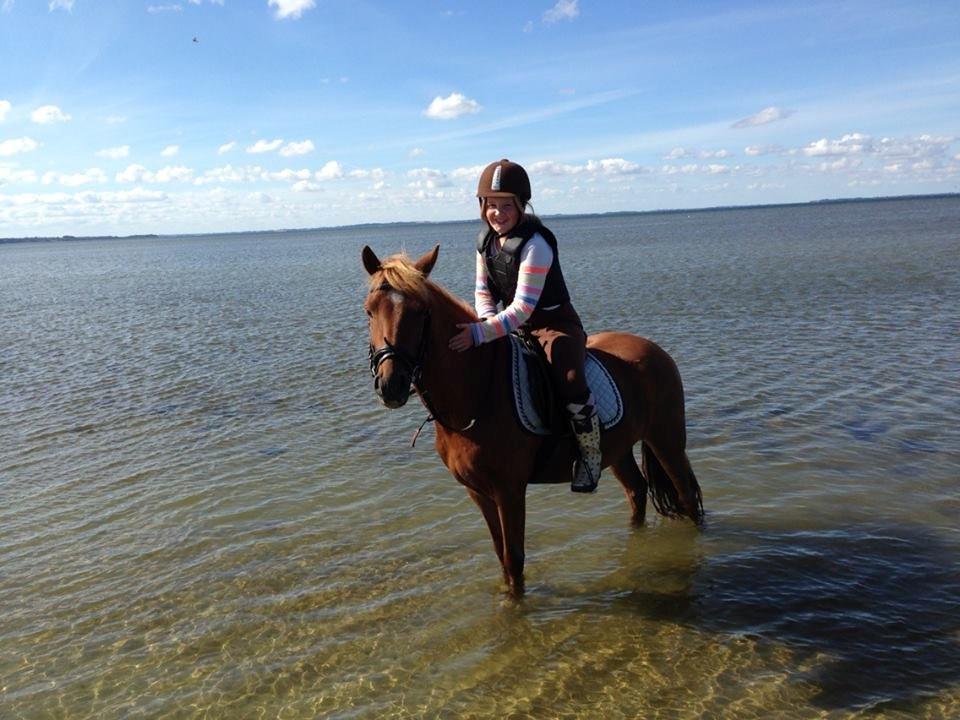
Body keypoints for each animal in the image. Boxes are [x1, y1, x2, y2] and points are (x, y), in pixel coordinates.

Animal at [364, 245, 700, 592]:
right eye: (369, 312)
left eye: (420, 312)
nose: (391, 385)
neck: (476, 393)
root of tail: (654, 350)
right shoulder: (477, 492)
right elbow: (501, 557)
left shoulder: (509, 491)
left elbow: (514, 560)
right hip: (617, 449)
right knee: (637, 493)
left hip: (666, 440)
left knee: (688, 496)